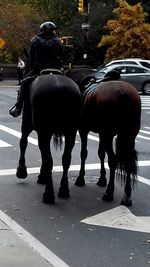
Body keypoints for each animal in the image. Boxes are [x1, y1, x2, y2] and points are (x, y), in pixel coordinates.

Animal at [16, 72, 81, 204]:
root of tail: (61, 88)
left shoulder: (28, 125)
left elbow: (23, 143)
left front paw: (21, 171)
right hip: (71, 131)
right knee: (66, 159)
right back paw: (63, 190)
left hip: (44, 131)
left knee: (48, 160)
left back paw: (48, 194)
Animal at [65, 69, 141, 207]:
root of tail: (123, 93)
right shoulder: (101, 133)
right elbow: (101, 153)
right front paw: (102, 179)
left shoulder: (84, 130)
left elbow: (84, 153)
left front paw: (80, 178)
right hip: (129, 134)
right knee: (128, 162)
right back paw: (127, 196)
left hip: (109, 133)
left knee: (113, 160)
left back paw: (109, 192)